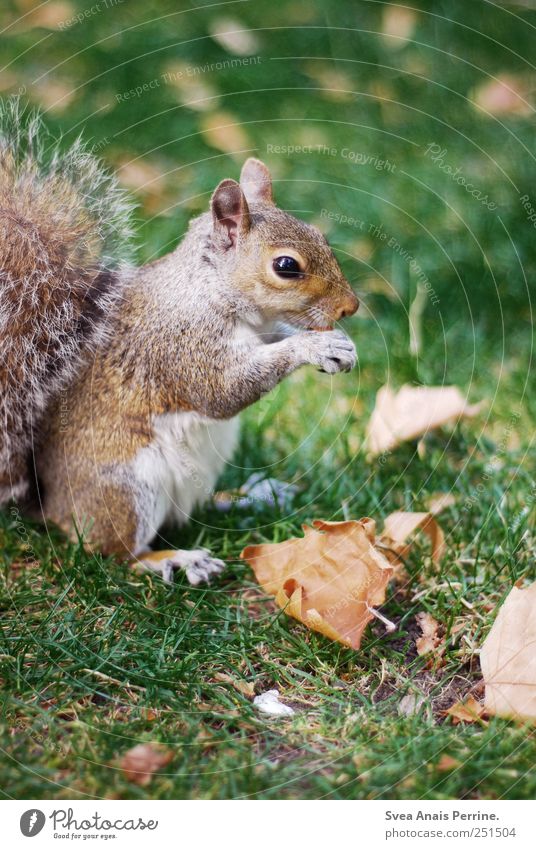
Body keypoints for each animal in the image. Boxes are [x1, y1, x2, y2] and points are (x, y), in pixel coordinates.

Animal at [2, 101, 360, 584]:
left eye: (322, 237)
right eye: (286, 266)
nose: (350, 307)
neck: (209, 287)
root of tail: (50, 504)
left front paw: (335, 342)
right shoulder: (183, 343)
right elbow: (222, 391)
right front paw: (314, 348)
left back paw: (252, 495)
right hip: (130, 488)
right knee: (115, 554)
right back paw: (175, 558)